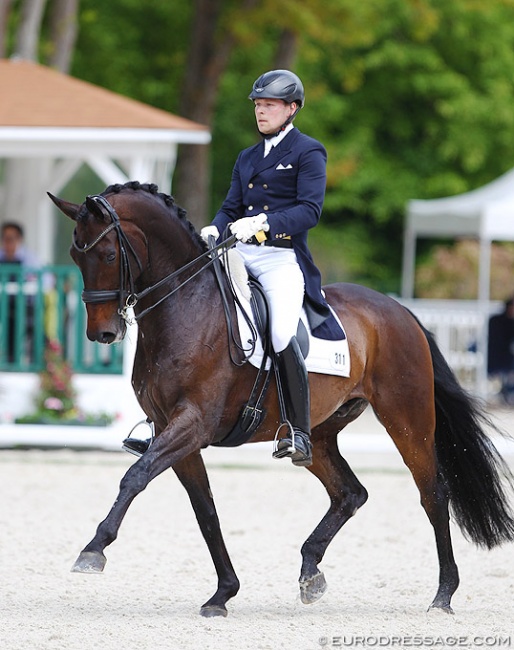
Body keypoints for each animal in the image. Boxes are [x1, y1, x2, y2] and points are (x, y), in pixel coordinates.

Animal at [46, 180, 510, 616]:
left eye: (108, 255)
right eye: (75, 256)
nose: (102, 333)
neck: (185, 308)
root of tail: (399, 311)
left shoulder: (192, 423)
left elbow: (135, 477)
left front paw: (93, 550)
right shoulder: (171, 430)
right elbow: (205, 510)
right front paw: (223, 593)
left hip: (407, 419)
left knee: (432, 494)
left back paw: (443, 595)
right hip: (319, 432)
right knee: (350, 493)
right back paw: (311, 573)